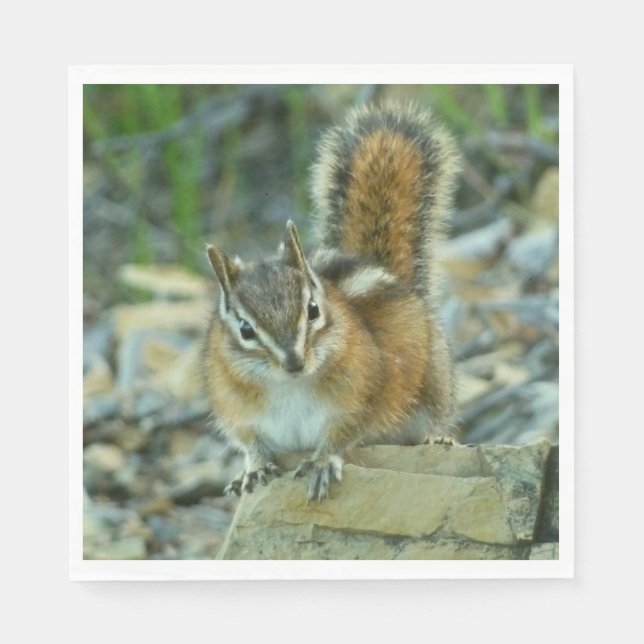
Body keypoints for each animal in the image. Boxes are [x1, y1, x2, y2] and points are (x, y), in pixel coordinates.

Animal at [203, 102, 460, 502]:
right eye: (245, 329)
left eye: (312, 310)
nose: (294, 362)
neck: (288, 386)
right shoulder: (237, 411)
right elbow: (250, 443)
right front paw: (254, 468)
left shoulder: (361, 398)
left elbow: (342, 435)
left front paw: (322, 462)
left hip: (434, 386)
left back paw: (437, 438)